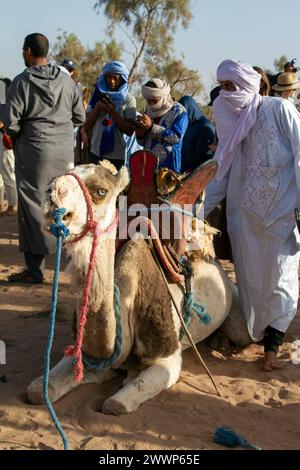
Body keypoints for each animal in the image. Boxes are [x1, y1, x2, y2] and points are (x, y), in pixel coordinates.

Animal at [26, 159, 251, 414]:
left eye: (100, 191)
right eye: (54, 180)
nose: (53, 192)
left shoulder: (168, 360)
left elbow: (115, 405)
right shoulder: (88, 355)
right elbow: (37, 390)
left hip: (235, 308)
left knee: (241, 333)